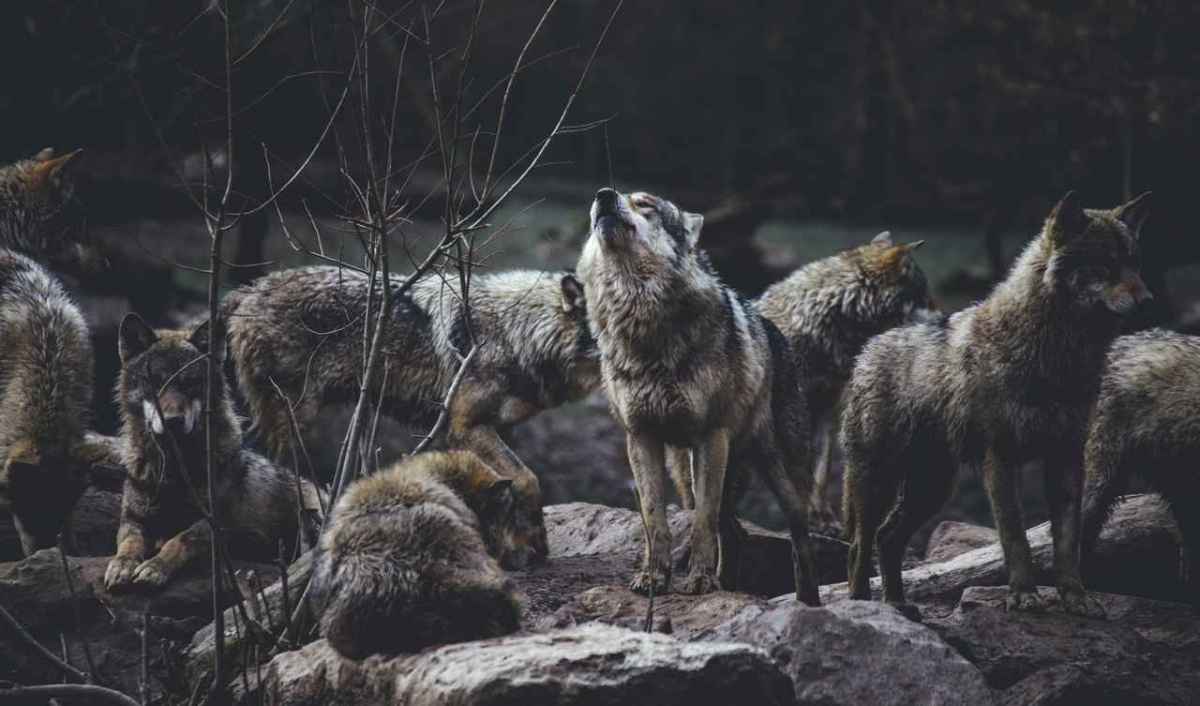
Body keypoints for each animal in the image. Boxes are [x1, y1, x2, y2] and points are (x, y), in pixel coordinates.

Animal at [104, 314, 303, 590]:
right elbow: (128, 543)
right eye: (155, 382)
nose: (173, 421)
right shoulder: (133, 519)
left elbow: (180, 539)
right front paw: (121, 565)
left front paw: (155, 567)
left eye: (190, 383)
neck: (174, 470)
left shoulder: (216, 523)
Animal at [223, 266, 601, 567]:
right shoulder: (465, 426)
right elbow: (528, 479)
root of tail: (248, 290)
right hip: (291, 421)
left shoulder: (499, 429)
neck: (517, 332)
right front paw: (534, 544)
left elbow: (509, 488)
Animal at [577, 187, 820, 604]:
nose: (604, 195)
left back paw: (808, 602)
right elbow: (654, 520)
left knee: (798, 538)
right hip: (687, 473)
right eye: (609, 197)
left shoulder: (710, 436)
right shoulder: (640, 437)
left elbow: (702, 524)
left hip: (778, 475)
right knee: (734, 532)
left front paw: (701, 581)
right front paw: (654, 578)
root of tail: (774, 330)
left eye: (646, 203)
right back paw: (729, 584)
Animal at [749, 231, 934, 519]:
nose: (943, 316)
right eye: (924, 296)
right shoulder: (800, 405)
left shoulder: (829, 404)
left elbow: (822, 466)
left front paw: (821, 511)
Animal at [842, 191, 1152, 617]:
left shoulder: (1067, 458)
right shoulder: (1000, 458)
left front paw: (1076, 598)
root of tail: (870, 347)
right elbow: (1015, 536)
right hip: (879, 481)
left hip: (932, 488)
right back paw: (863, 606)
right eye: (1105, 263)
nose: (1148, 300)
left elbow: (1067, 541)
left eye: (1134, 263)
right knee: (860, 543)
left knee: (888, 538)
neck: (1056, 355)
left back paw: (898, 606)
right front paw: (1023, 596)